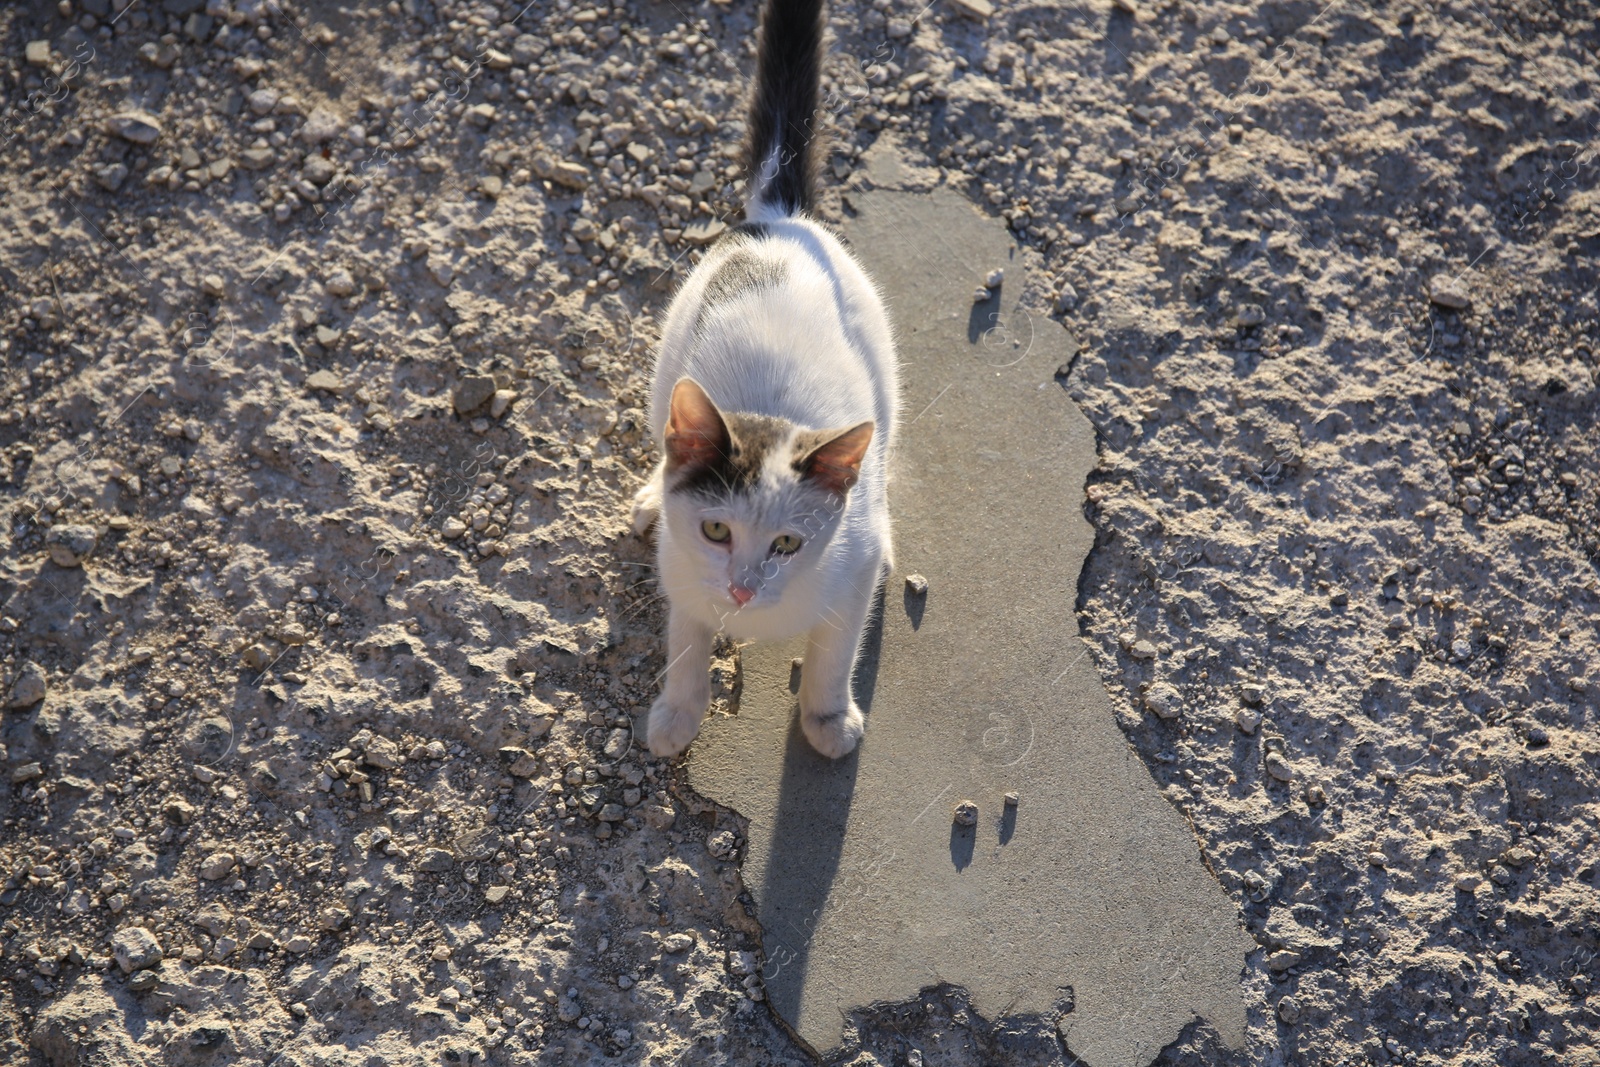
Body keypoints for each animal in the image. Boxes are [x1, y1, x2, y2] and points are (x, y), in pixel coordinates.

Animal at [627, 0, 902, 758]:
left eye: (787, 544)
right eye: (717, 530)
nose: (745, 590)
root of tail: (778, 224)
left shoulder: (851, 565)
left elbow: (836, 649)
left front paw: (827, 718)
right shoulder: (683, 570)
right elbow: (687, 637)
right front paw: (677, 713)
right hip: (668, 361)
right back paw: (649, 492)